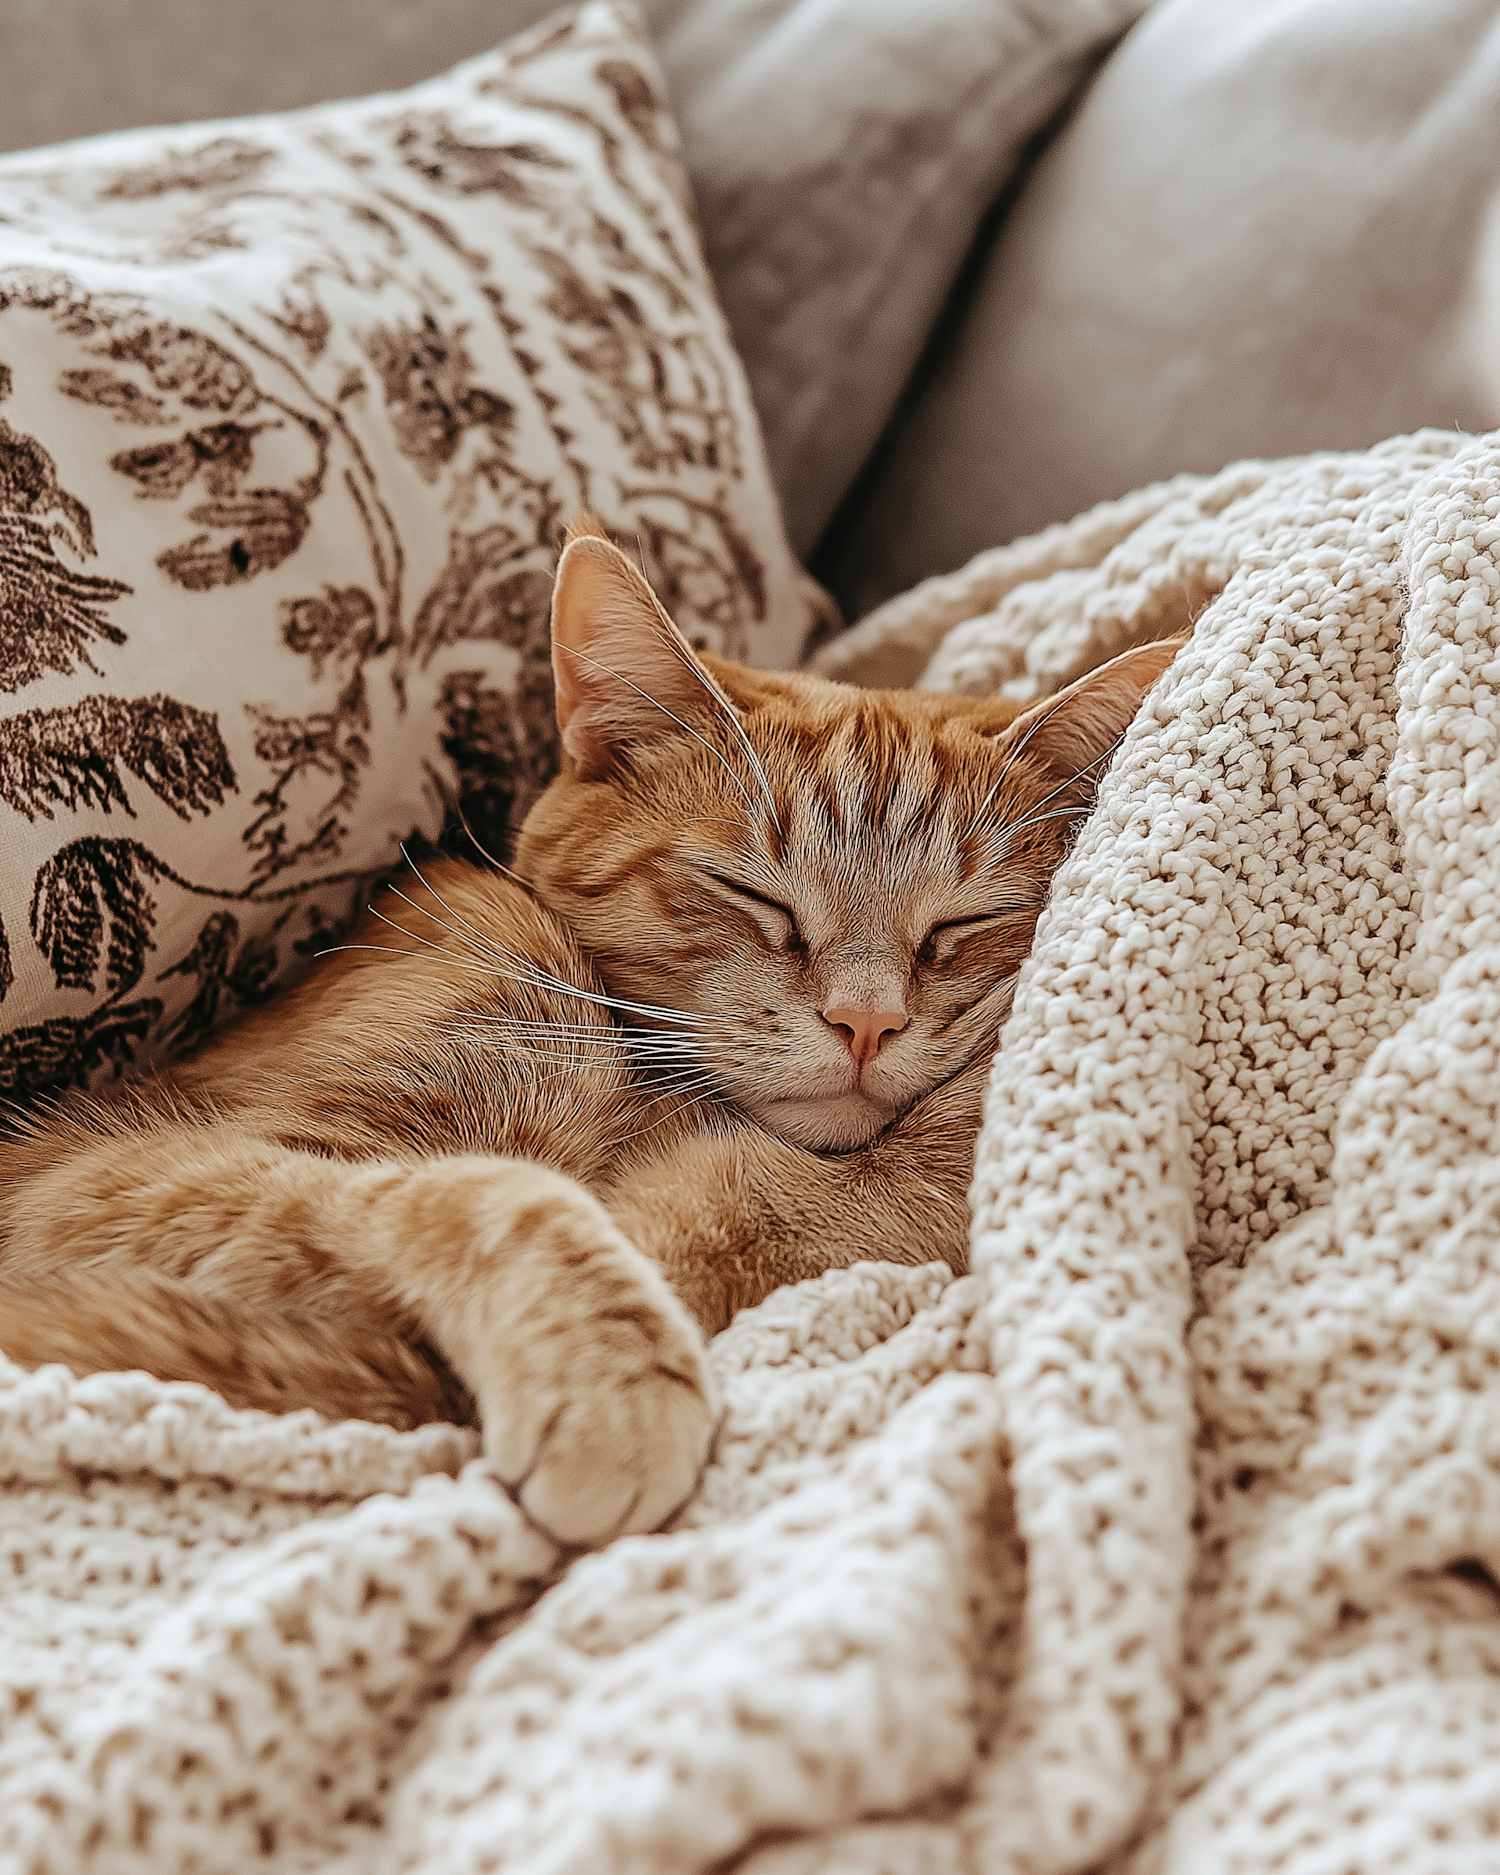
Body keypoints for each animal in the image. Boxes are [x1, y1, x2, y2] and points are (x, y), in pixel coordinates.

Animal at [0, 521, 1177, 1545]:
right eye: (753, 895)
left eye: (961, 924)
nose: (866, 1021)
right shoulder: (69, 1184)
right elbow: (488, 1191)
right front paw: (610, 1369)